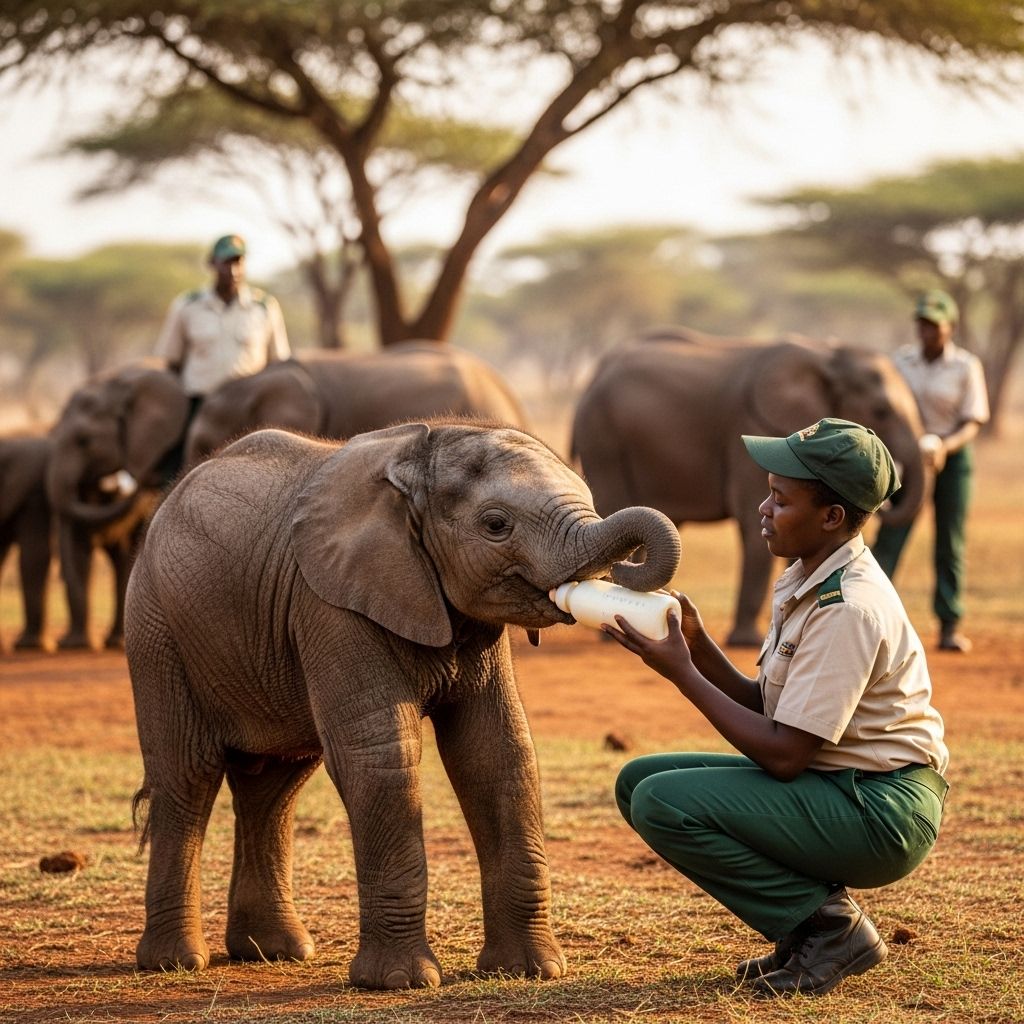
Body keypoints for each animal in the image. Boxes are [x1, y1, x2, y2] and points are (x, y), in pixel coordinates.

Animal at [47, 361, 189, 649]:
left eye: (84, 440)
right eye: (51, 434)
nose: (147, 480)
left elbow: (127, 551)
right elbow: (77, 544)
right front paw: (75, 644)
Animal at [125, 420, 680, 987]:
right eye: (496, 525)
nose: (631, 590)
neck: (416, 464)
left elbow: (497, 753)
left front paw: (530, 971)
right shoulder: (329, 603)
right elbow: (382, 756)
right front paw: (401, 981)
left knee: (275, 784)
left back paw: (274, 953)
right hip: (156, 629)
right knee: (187, 775)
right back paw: (175, 961)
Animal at [572, 333, 926, 646]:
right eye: (880, 411)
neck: (828, 353)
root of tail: (591, 379)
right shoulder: (753, 425)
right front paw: (746, 642)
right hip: (604, 440)